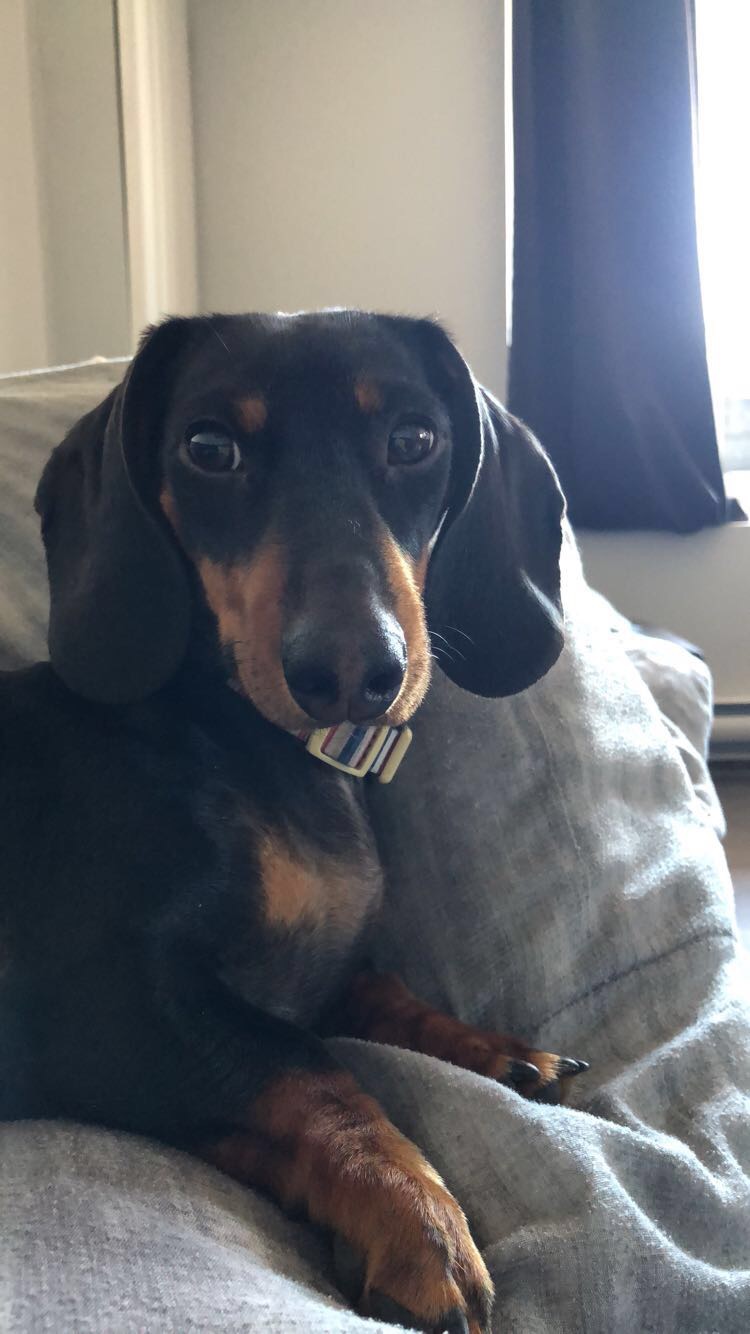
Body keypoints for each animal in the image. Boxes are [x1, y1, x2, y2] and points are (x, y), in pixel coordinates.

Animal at [0, 311, 585, 1334]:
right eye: (208, 449)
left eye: (413, 439)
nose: (352, 672)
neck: (255, 742)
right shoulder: (106, 1009)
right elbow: (307, 1070)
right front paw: (418, 1219)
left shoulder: (323, 976)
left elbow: (383, 997)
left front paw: (503, 1053)